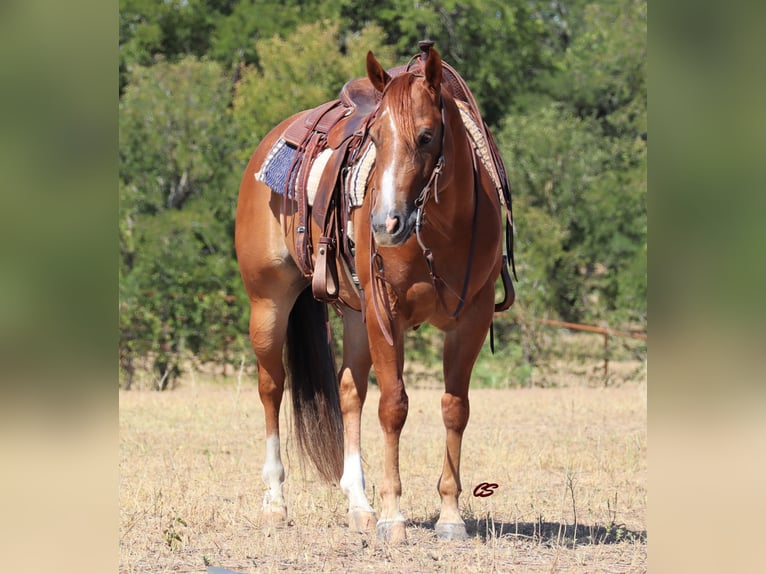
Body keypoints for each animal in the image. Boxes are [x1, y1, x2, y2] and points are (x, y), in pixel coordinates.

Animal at [234, 41, 516, 544]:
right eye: (377, 139)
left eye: (426, 136)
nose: (386, 224)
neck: (441, 230)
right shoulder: (387, 315)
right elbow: (393, 407)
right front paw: (393, 515)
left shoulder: (472, 318)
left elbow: (454, 408)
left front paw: (449, 516)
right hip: (268, 303)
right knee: (272, 387)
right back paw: (275, 502)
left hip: (354, 314)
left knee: (349, 392)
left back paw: (358, 504)